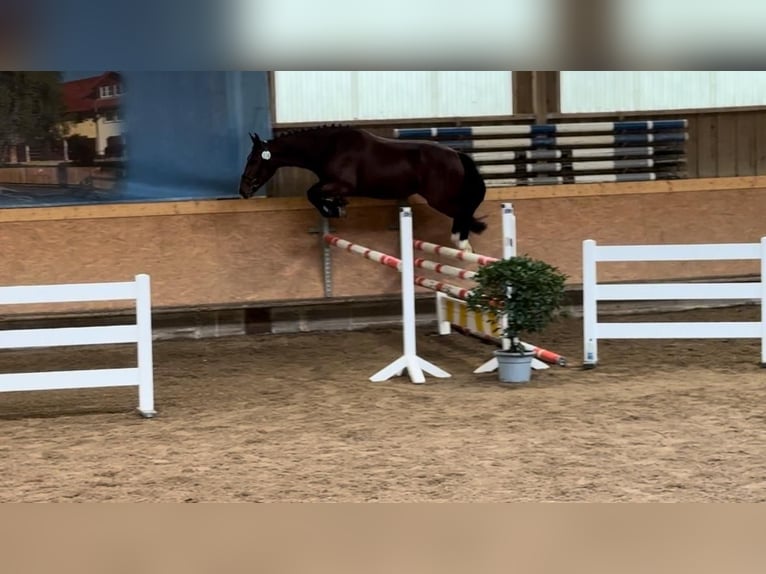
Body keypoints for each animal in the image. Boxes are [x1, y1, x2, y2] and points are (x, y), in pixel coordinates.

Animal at [238, 125, 487, 252]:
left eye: (253, 159)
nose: (243, 190)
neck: (329, 147)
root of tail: (456, 154)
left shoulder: (342, 184)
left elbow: (312, 193)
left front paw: (335, 209)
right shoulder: (334, 185)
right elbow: (317, 195)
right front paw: (336, 205)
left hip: (439, 199)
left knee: (464, 211)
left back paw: (462, 242)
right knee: (465, 211)